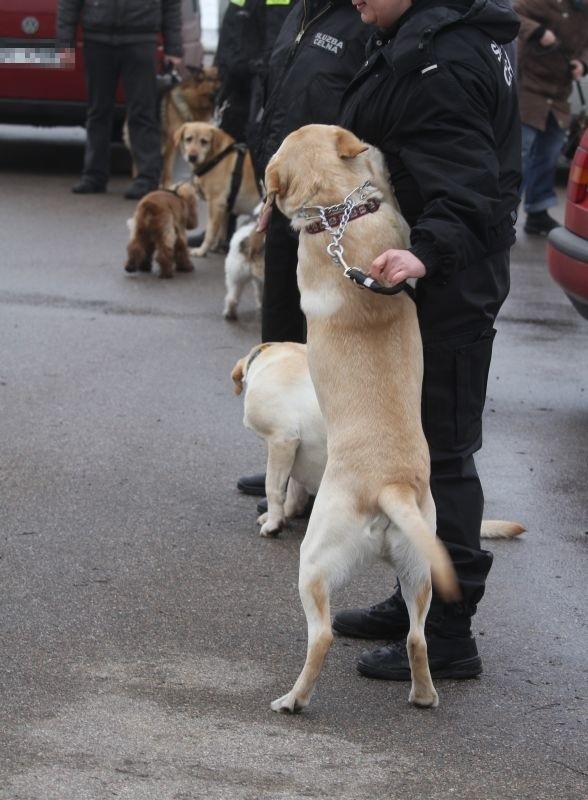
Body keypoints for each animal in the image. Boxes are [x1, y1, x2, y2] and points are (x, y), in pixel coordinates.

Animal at [172, 120, 260, 256]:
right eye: (188, 139)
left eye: (204, 141)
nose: (192, 156)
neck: (216, 157)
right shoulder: (225, 207)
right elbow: (221, 231)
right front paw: (217, 246)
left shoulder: (216, 203)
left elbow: (210, 231)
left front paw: (202, 250)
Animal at [260, 123, 510, 712]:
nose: (375, 143)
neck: (337, 217)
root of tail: (389, 485)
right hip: (422, 568)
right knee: (417, 637)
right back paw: (423, 694)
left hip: (314, 560)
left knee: (323, 635)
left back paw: (293, 700)